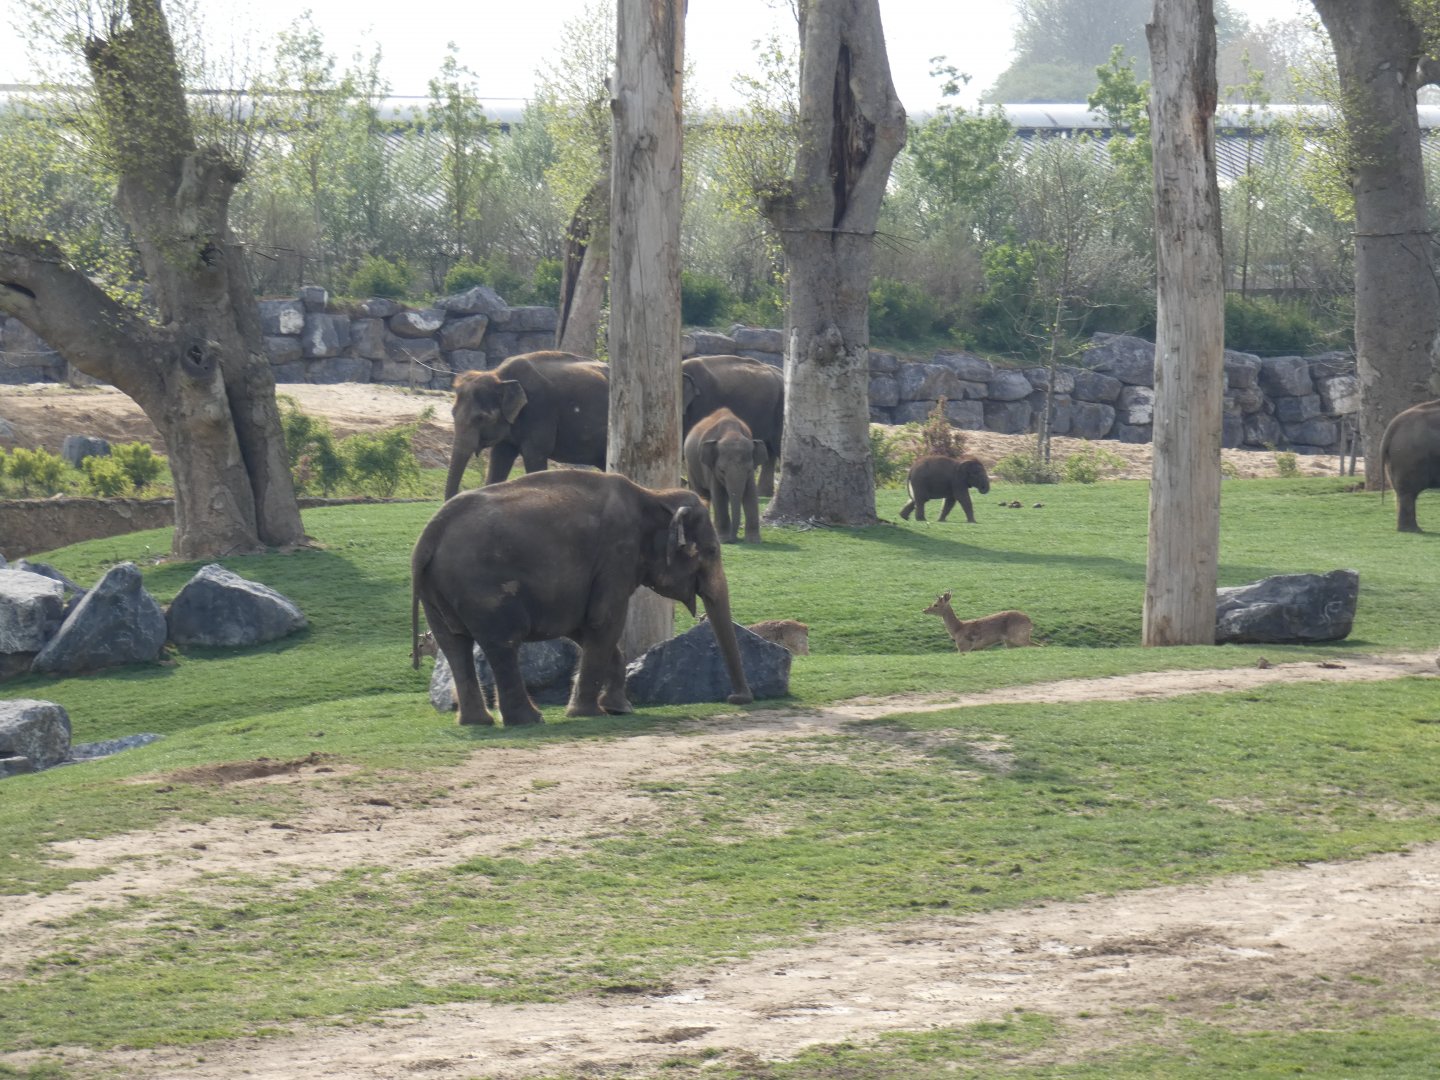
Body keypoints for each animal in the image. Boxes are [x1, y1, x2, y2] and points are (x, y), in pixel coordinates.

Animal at [411, 469, 754, 727]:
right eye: (712, 551)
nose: (737, 699)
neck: (655, 496)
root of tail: (428, 536)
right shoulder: (617, 555)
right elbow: (605, 621)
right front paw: (590, 713)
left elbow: (585, 628)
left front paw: (618, 708)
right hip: (483, 589)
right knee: (502, 643)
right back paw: (529, 720)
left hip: (436, 592)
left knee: (454, 645)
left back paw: (478, 722)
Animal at [444, 350, 609, 499]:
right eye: (452, 413)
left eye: (480, 418)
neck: (500, 376)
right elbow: (499, 458)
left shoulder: (539, 411)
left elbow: (534, 456)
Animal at [684, 407, 767, 544]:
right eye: (722, 471)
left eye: (749, 470)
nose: (734, 540)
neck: (731, 432)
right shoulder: (710, 468)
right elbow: (718, 496)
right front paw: (724, 539)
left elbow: (751, 494)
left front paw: (753, 541)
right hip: (690, 466)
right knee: (702, 494)